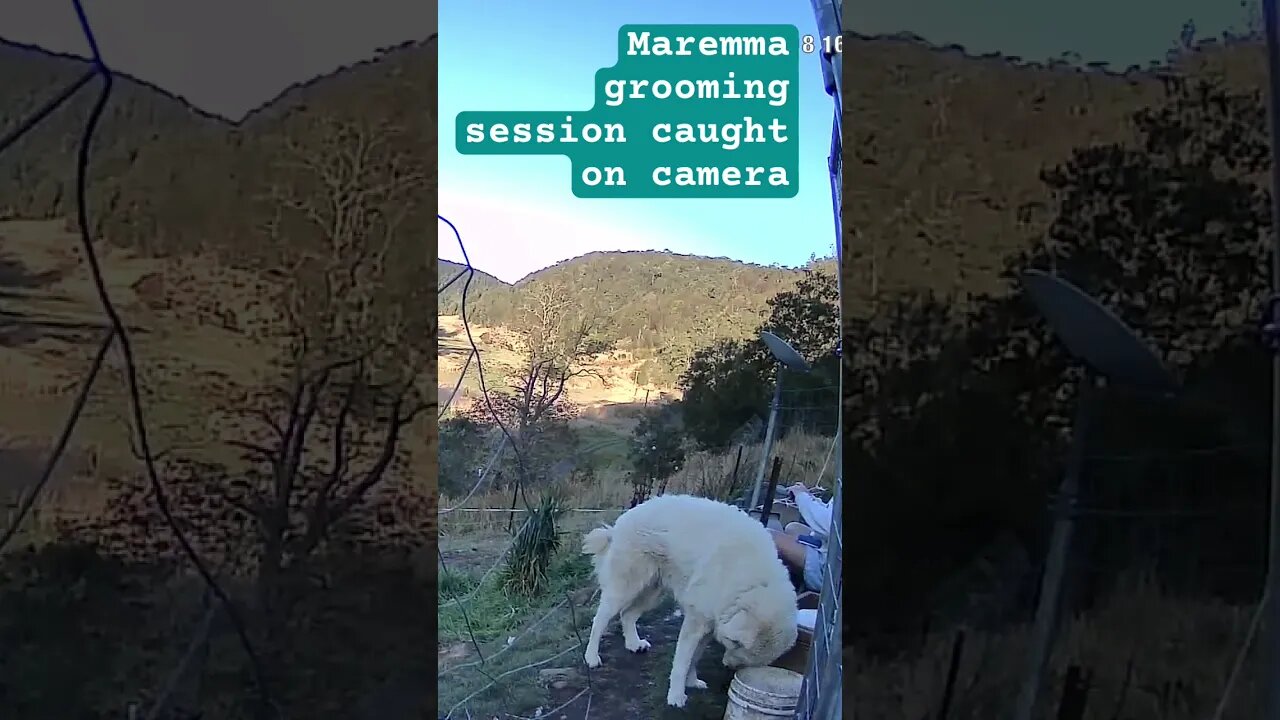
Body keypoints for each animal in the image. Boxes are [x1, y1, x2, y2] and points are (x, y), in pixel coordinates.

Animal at [583, 489, 798, 702]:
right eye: (734, 644)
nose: (728, 665)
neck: (754, 583)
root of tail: (622, 521)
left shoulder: (711, 621)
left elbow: (695, 658)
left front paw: (692, 682)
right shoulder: (696, 621)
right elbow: (682, 661)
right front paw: (676, 697)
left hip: (652, 592)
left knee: (627, 615)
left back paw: (634, 644)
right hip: (625, 588)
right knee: (600, 620)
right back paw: (591, 657)